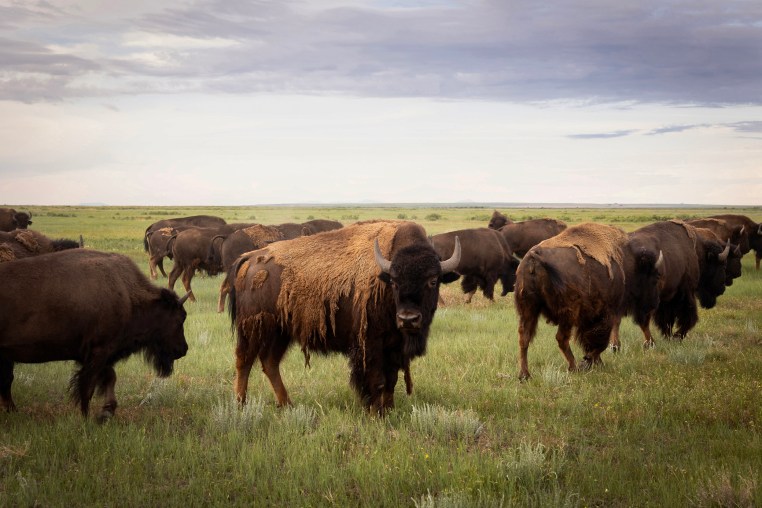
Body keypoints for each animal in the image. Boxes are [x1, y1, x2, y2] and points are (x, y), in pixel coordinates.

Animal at [0, 249, 189, 420]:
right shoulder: (99, 352)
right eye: (179, 319)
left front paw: (106, 412)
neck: (128, 295)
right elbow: (88, 386)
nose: (183, 349)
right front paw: (86, 418)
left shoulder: (100, 356)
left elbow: (110, 378)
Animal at [228, 220, 460, 415]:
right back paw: (240, 405)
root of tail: (250, 258)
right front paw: (375, 413)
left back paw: (287, 405)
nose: (408, 319)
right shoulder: (370, 345)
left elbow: (392, 380)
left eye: (433, 280)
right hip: (254, 329)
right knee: (244, 361)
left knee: (269, 363)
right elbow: (377, 380)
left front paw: (389, 410)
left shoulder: (394, 346)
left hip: (280, 333)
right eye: (394, 282)